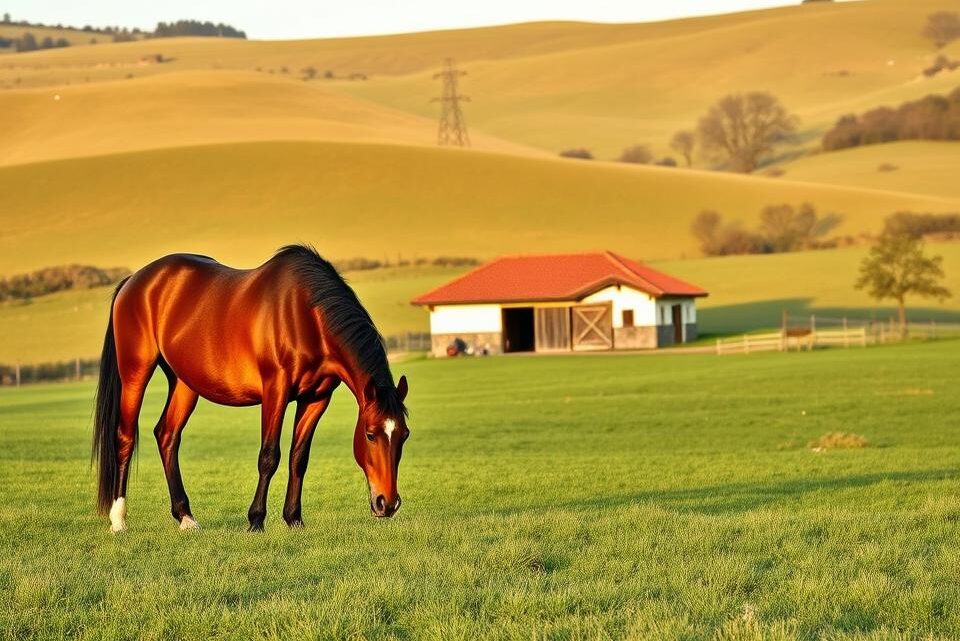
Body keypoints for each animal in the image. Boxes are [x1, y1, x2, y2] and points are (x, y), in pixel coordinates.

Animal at [92, 245, 409, 533]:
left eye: (404, 435)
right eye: (370, 435)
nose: (387, 503)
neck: (305, 315)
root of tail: (134, 280)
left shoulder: (317, 399)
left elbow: (299, 457)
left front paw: (293, 518)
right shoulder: (275, 391)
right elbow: (269, 456)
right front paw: (256, 520)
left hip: (184, 383)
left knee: (167, 435)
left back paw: (185, 517)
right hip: (135, 372)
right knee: (125, 437)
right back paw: (118, 520)